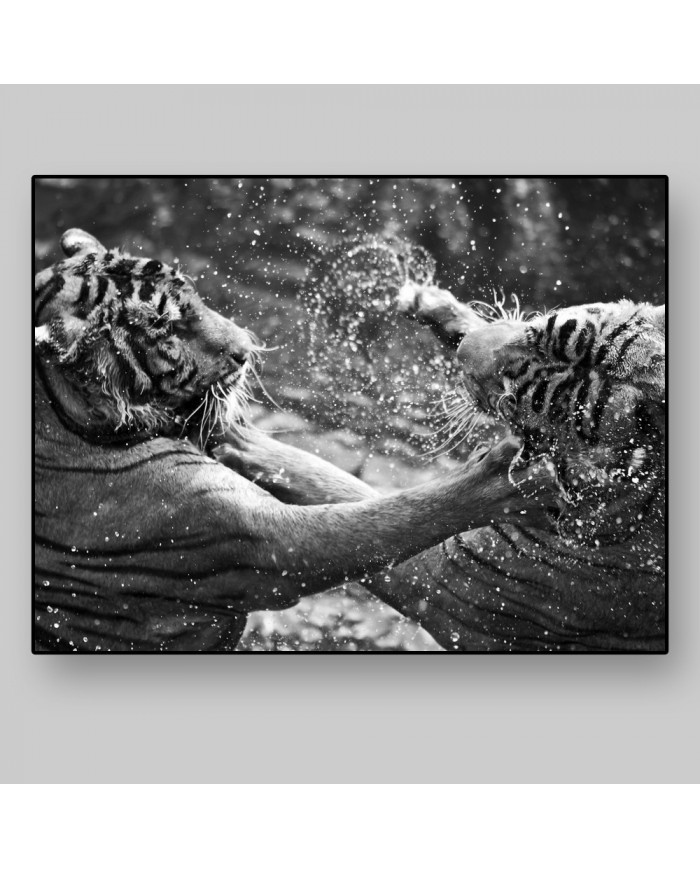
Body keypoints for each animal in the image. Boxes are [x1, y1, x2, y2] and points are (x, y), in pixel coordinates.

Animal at [34, 229, 560, 652]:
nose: (245, 349)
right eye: (165, 326)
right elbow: (393, 516)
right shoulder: (256, 540)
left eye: (194, 296)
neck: (67, 414)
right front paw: (514, 476)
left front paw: (235, 436)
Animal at [222, 281, 666, 651]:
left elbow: (364, 506)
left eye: (513, 399)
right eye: (536, 333)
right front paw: (430, 302)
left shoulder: (437, 583)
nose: (464, 349)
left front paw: (237, 437)